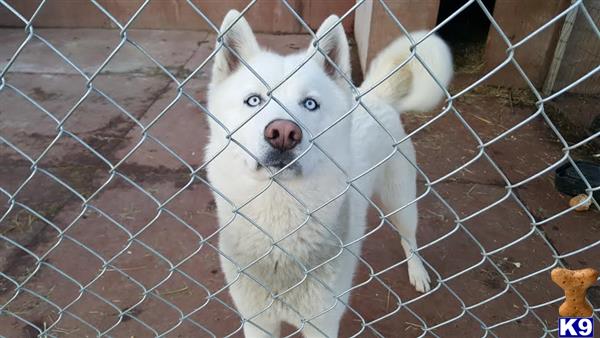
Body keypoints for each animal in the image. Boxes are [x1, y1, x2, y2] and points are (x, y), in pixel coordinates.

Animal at [204, 9, 452, 336]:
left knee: (409, 237)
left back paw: (418, 271)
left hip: (401, 202)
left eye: (310, 104)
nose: (283, 133)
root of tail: (373, 95)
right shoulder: (257, 321)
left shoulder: (322, 323)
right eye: (254, 100)